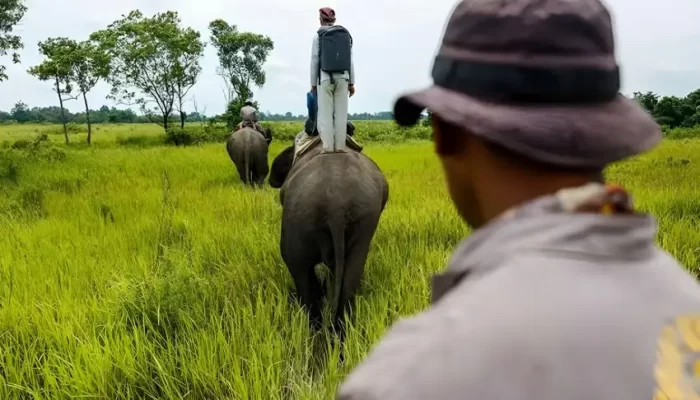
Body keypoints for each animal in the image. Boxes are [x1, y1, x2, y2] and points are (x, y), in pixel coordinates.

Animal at [268, 135, 388, 340]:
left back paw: (315, 332)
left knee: (301, 273)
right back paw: (339, 335)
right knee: (349, 280)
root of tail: (337, 206)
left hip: (298, 219)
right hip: (364, 222)